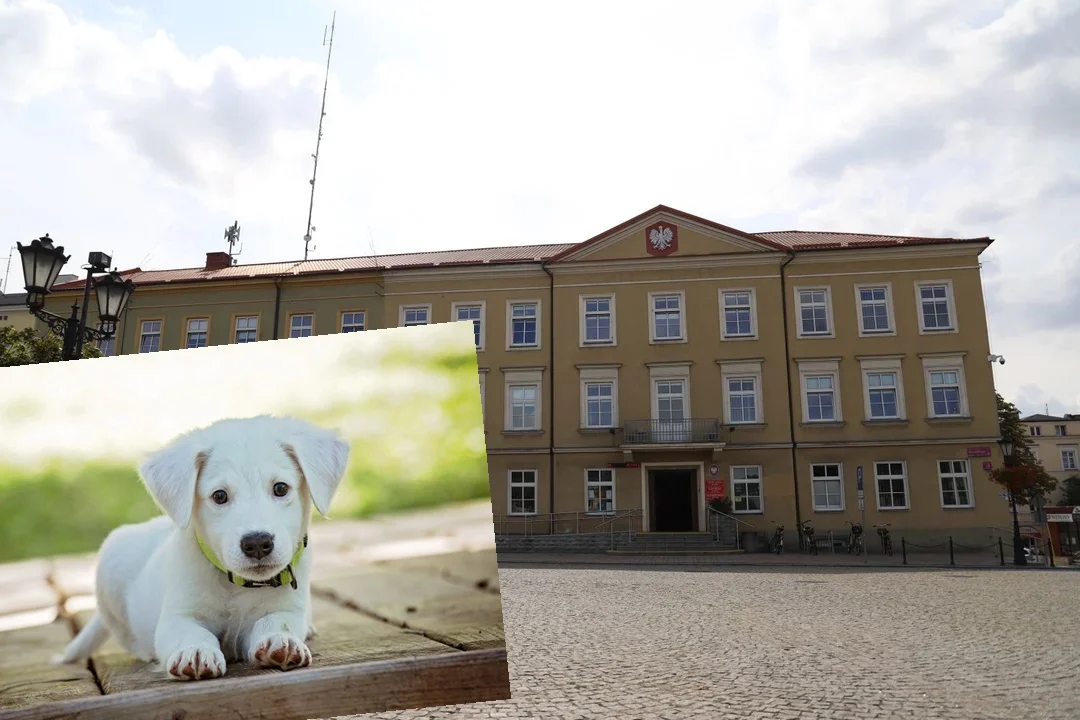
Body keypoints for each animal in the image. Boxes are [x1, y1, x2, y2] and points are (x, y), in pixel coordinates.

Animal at [56, 416, 349, 682]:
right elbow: (193, 632)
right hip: (111, 564)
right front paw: (195, 652)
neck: (235, 585)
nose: (257, 543)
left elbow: (275, 621)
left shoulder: (287, 609)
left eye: (280, 488)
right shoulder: (177, 617)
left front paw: (281, 641)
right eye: (219, 496)